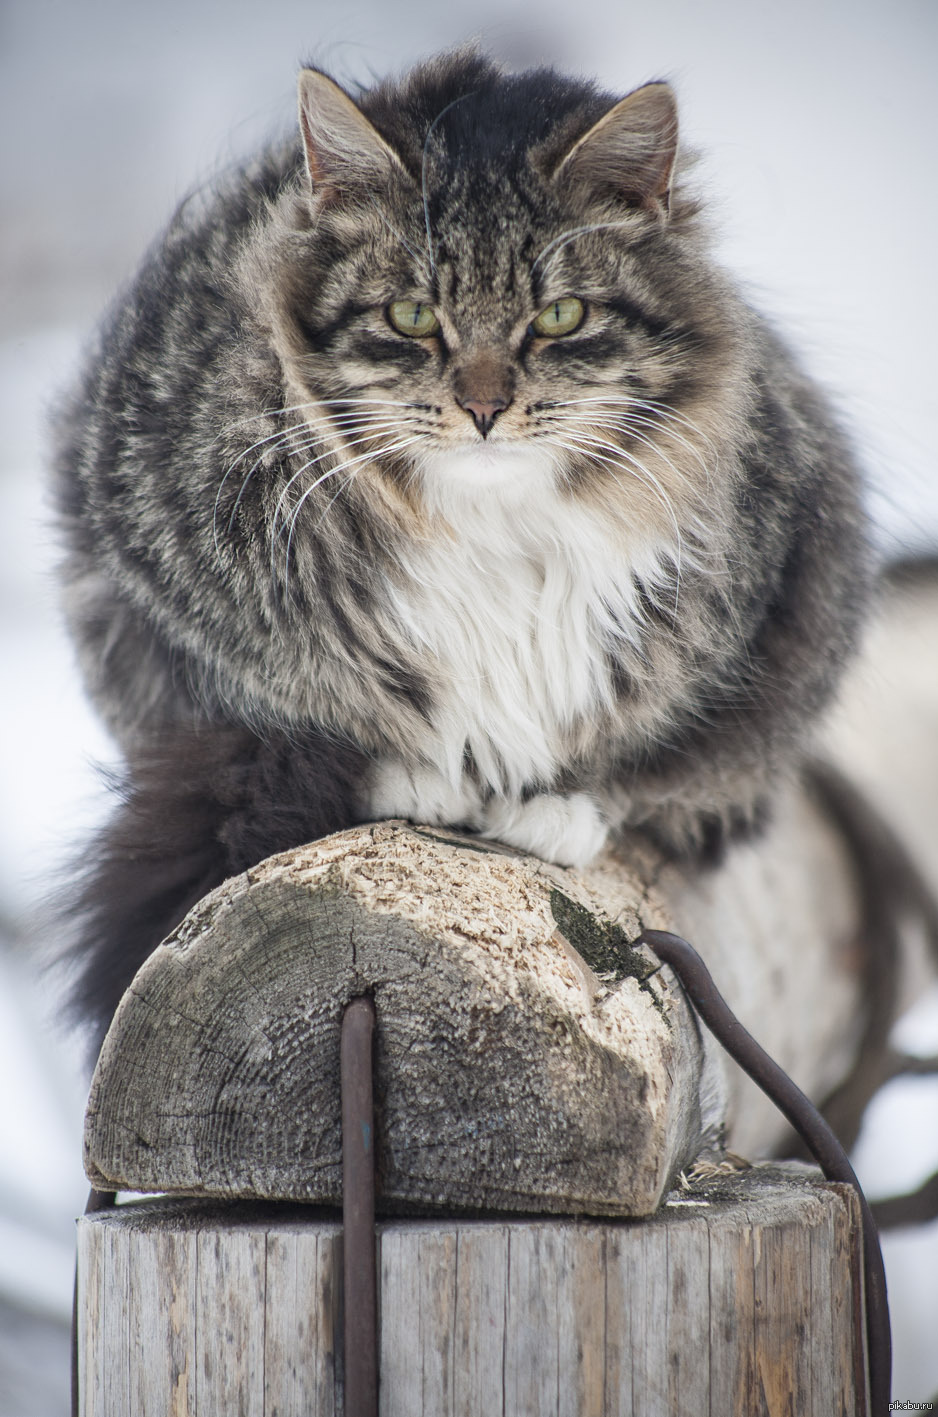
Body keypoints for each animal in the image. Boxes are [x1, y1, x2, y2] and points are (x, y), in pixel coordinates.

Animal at [51, 49, 872, 1048]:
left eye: (559, 316)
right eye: (411, 315)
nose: (483, 406)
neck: (491, 521)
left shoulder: (785, 598)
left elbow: (644, 758)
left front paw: (558, 806)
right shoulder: (152, 584)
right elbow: (289, 715)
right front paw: (421, 772)